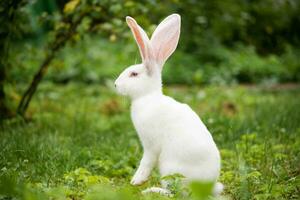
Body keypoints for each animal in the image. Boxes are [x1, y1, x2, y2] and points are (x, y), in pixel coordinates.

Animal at [114, 13, 223, 195]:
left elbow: (146, 163)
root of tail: (206, 188)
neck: (148, 97)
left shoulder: (151, 146)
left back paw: (153, 191)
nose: (115, 85)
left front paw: (136, 181)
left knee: (177, 193)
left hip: (170, 167)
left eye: (134, 74)